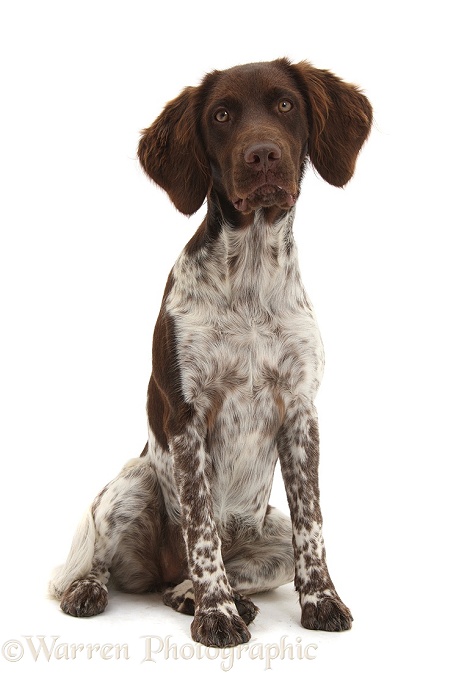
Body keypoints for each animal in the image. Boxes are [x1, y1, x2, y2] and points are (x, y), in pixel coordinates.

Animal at [49, 57, 370, 644]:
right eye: (221, 115)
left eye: (286, 104)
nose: (262, 154)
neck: (250, 282)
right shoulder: (188, 417)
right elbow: (201, 529)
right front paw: (216, 613)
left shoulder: (301, 415)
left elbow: (313, 526)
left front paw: (321, 600)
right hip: (132, 482)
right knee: (96, 566)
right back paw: (98, 589)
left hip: (268, 533)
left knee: (222, 571)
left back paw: (195, 596)